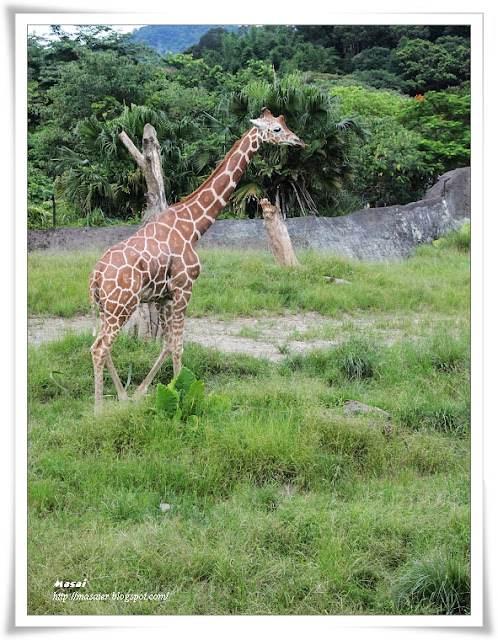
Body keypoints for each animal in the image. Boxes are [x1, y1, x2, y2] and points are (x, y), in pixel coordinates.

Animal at [91, 107, 306, 412]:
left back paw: (120, 396)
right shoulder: (185, 287)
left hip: (107, 307)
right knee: (99, 348)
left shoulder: (164, 295)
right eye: (276, 129)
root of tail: (95, 277)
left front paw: (142, 392)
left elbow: (168, 344)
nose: (299, 141)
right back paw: (98, 410)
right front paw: (181, 393)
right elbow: (179, 345)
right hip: (120, 305)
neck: (192, 226)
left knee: (101, 344)